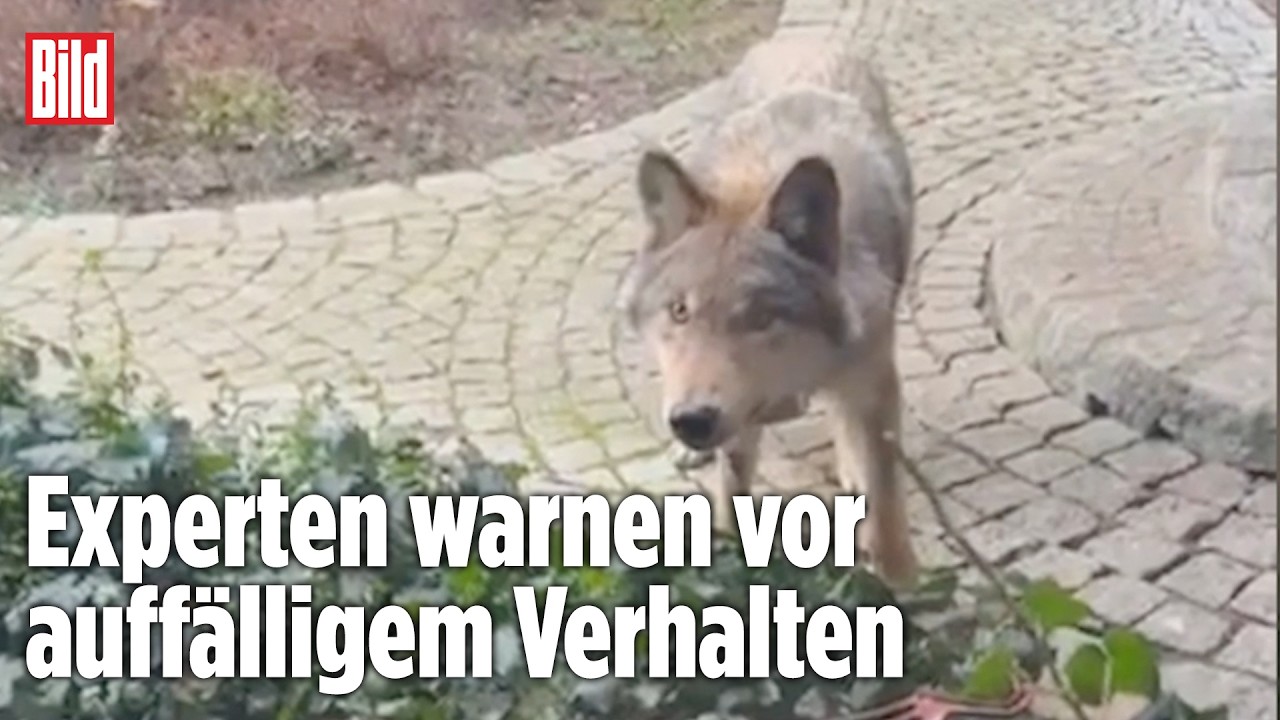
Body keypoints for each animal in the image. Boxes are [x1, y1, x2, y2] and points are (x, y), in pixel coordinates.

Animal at [617, 37, 920, 588]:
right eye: (679, 311)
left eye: (760, 318)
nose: (692, 420)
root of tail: (805, 36)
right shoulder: (739, 418)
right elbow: (731, 491)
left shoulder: (872, 381)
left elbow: (886, 501)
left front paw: (899, 580)